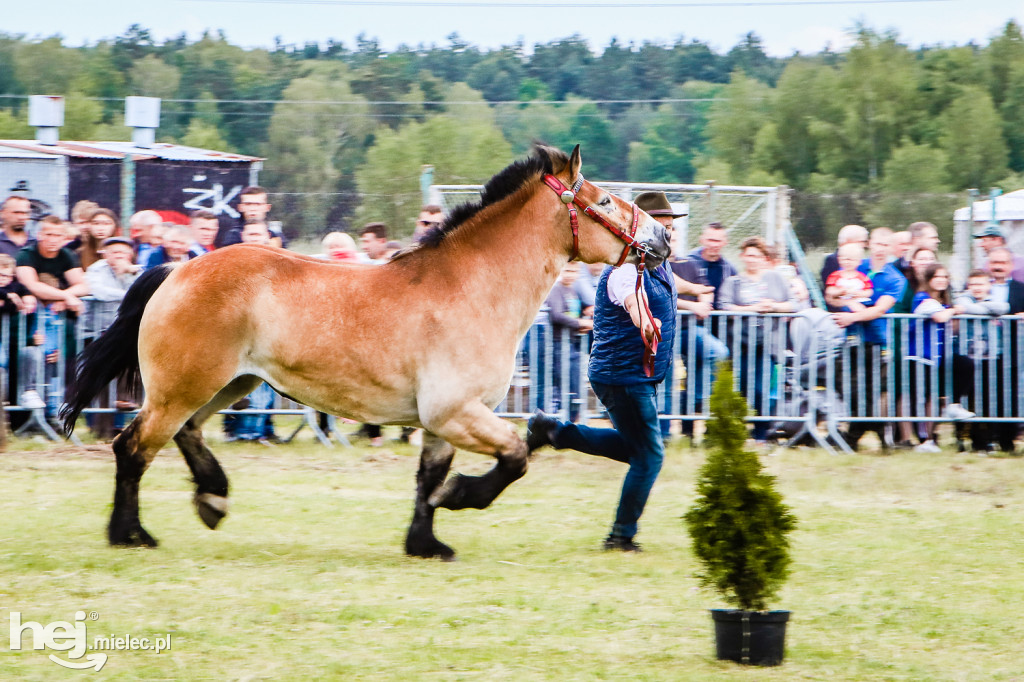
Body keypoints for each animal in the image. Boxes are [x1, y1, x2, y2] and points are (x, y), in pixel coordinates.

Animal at [64, 143, 671, 557]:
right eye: (604, 200)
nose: (662, 241)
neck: (473, 288)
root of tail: (174, 270)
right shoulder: (456, 412)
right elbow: (515, 456)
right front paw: (461, 497)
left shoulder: (441, 420)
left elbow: (428, 477)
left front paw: (426, 543)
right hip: (184, 387)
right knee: (133, 447)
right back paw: (131, 534)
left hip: (230, 383)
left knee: (182, 434)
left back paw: (212, 499)